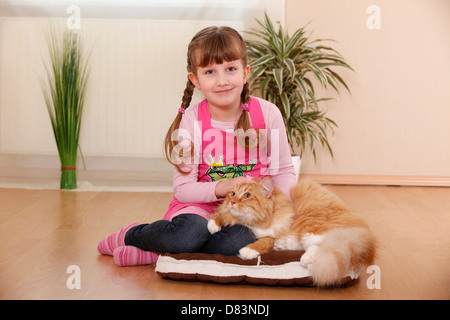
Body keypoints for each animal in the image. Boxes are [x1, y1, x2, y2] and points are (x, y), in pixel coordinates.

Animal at [208, 176, 376, 286]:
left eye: (247, 195)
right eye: (232, 194)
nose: (232, 202)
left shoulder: (276, 233)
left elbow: (264, 241)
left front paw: (247, 251)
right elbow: (221, 214)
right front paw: (212, 224)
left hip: (309, 223)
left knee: (322, 243)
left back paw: (306, 259)